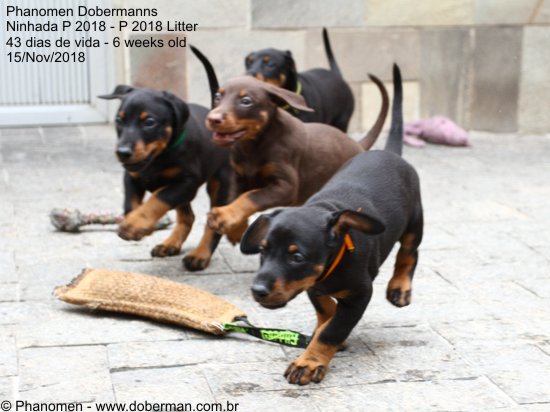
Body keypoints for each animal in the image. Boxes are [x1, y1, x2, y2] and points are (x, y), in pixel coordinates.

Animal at [98, 47, 231, 271]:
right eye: (119, 120)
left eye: (149, 122)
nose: (122, 152)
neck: (159, 157)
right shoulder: (131, 176)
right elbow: (130, 204)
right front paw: (139, 225)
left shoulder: (186, 182)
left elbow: (158, 198)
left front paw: (135, 225)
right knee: (188, 216)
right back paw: (170, 244)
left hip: (220, 183)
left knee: (213, 223)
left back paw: (200, 255)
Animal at [205, 73, 388, 244]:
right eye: (217, 97)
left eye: (246, 101)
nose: (213, 119)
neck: (254, 144)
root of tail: (358, 145)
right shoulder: (239, 177)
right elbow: (236, 196)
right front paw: (236, 228)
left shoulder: (286, 187)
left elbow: (251, 196)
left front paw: (224, 216)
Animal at [240, 64, 424, 385]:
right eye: (263, 251)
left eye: (296, 256)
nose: (258, 290)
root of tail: (389, 152)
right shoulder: (314, 284)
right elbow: (326, 311)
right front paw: (322, 330)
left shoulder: (361, 294)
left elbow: (334, 329)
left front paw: (310, 361)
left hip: (416, 218)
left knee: (409, 253)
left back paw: (399, 287)